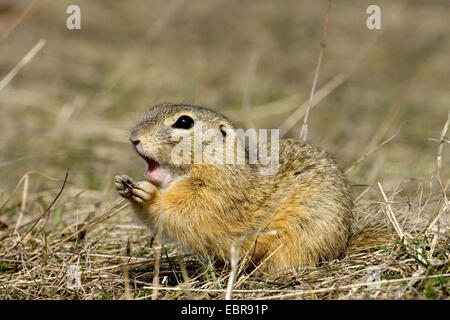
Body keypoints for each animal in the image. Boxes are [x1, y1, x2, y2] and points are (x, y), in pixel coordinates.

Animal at [115, 104, 356, 274]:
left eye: (184, 121)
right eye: (151, 110)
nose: (133, 137)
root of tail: (341, 248)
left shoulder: (213, 197)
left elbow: (184, 214)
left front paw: (147, 195)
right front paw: (122, 183)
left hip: (298, 240)